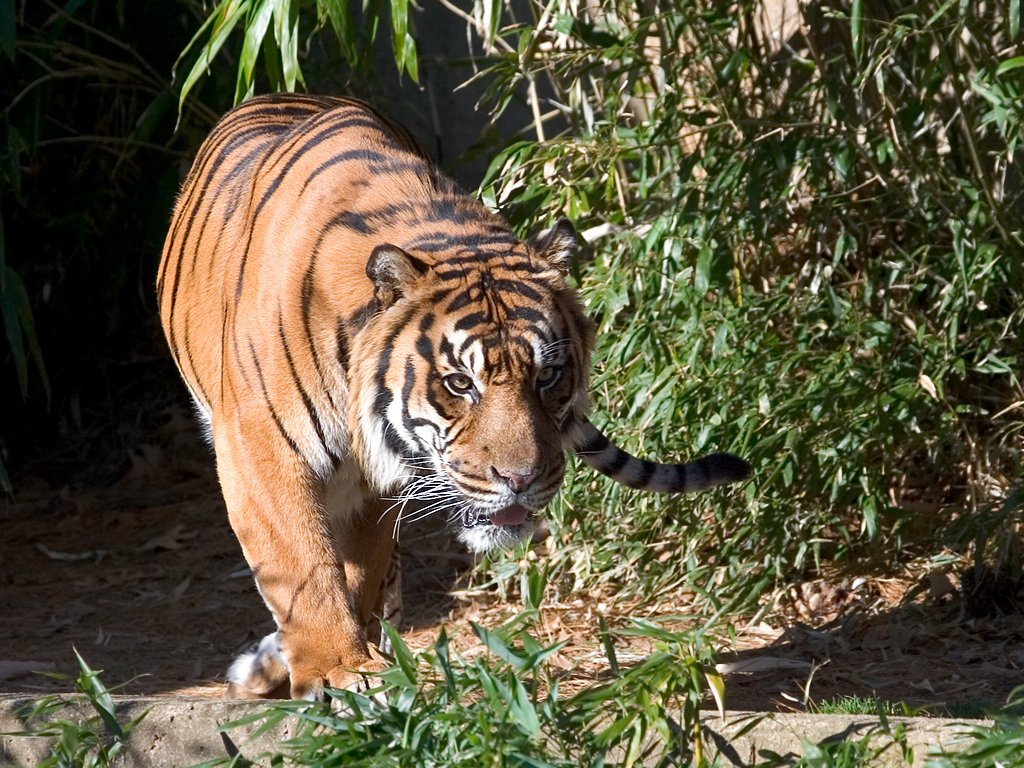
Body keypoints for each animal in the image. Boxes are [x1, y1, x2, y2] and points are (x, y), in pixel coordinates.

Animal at [157, 93, 751, 700]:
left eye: (548, 376)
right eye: (460, 383)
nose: (520, 480)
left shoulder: (369, 483)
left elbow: (358, 571)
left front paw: (359, 665)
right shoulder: (262, 451)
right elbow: (303, 566)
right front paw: (335, 670)